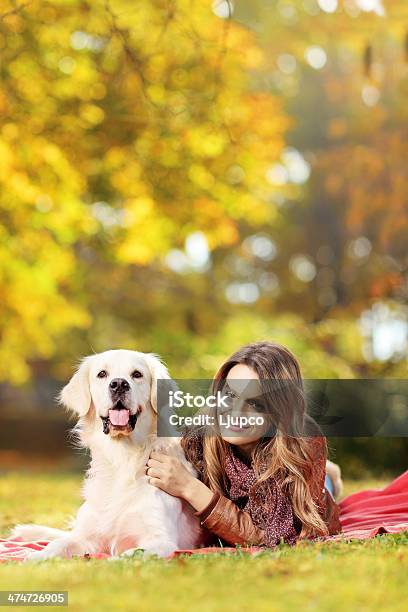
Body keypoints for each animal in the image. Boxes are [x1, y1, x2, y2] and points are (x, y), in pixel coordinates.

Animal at [11, 350, 203, 560]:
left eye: (137, 374)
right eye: (102, 374)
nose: (119, 384)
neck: (122, 458)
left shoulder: (161, 540)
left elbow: (129, 554)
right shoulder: (86, 536)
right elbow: (59, 543)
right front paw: (36, 557)